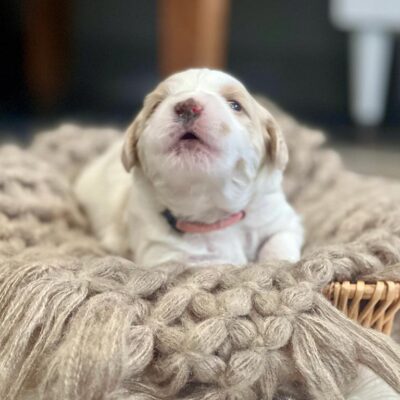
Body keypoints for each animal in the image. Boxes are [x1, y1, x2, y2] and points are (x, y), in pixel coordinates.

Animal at [73, 69, 302, 268]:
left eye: (235, 105)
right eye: (156, 106)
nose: (188, 106)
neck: (211, 213)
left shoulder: (281, 220)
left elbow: (279, 245)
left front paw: (277, 263)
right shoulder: (163, 253)